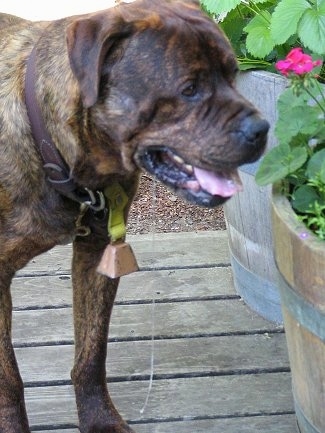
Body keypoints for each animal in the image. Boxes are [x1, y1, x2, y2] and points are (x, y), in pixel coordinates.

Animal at [0, 0, 268, 432]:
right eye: (189, 89)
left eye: (232, 75)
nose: (262, 128)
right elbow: (9, 379)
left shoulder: (96, 253)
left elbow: (92, 353)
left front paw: (99, 419)